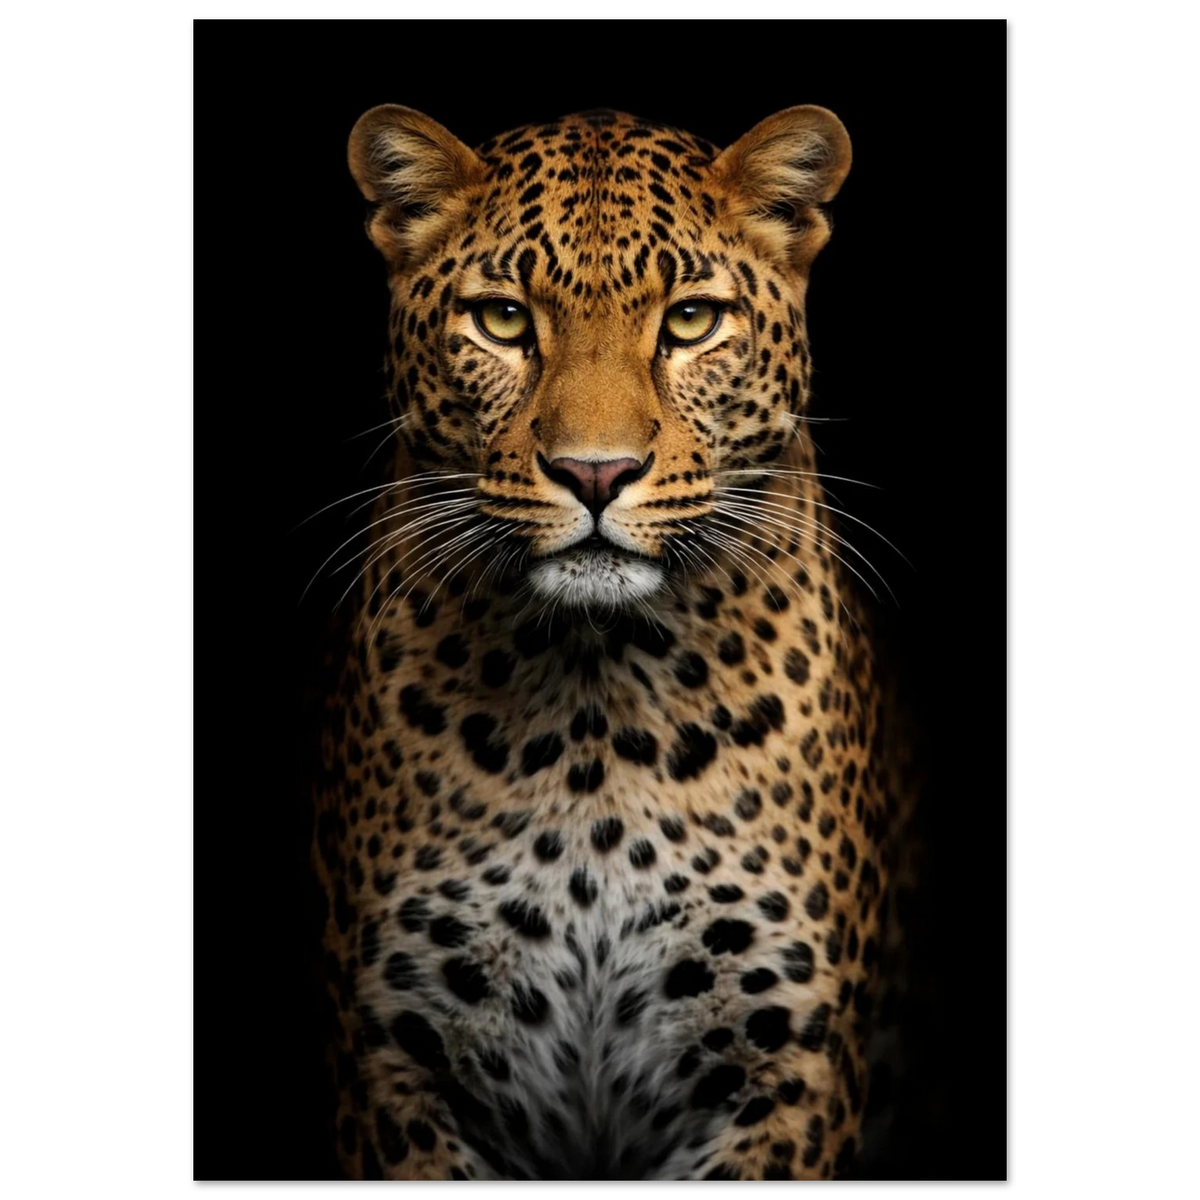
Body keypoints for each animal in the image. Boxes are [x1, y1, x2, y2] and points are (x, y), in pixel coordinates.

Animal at [310, 102, 920, 1181]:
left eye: (691, 321)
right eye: (504, 319)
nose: (595, 473)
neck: (594, 707)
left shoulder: (782, 1070)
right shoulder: (398, 1063)